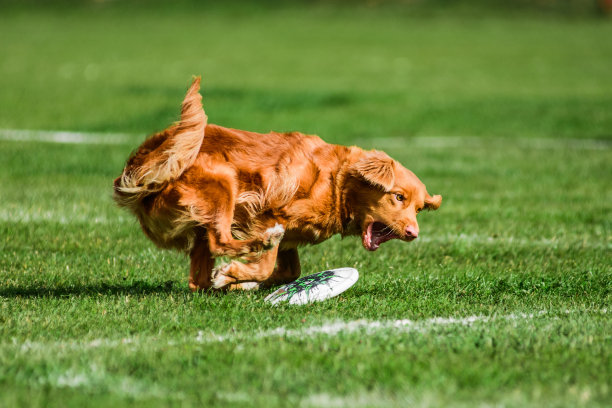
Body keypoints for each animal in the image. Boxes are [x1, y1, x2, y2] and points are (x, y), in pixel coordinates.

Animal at [113, 78, 440, 290]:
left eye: (418, 208)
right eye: (398, 197)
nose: (413, 233)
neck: (337, 182)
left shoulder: (291, 237)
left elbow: (291, 272)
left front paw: (237, 281)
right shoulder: (267, 215)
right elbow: (268, 264)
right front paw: (236, 275)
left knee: (198, 280)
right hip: (223, 182)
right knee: (221, 241)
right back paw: (253, 249)